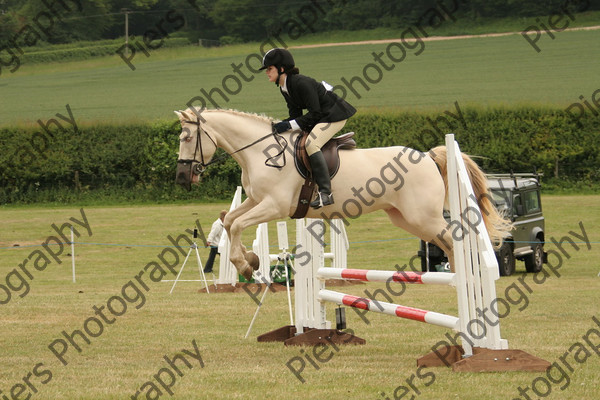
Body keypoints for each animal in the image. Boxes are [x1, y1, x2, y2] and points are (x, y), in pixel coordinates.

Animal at [175, 108, 510, 280]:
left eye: (188, 137)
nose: (182, 178)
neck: (261, 151)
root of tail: (427, 156)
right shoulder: (256, 200)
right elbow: (230, 221)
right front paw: (251, 259)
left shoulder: (274, 206)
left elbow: (238, 225)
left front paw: (245, 264)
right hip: (405, 219)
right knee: (449, 241)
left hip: (423, 218)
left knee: (456, 237)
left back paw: (466, 277)